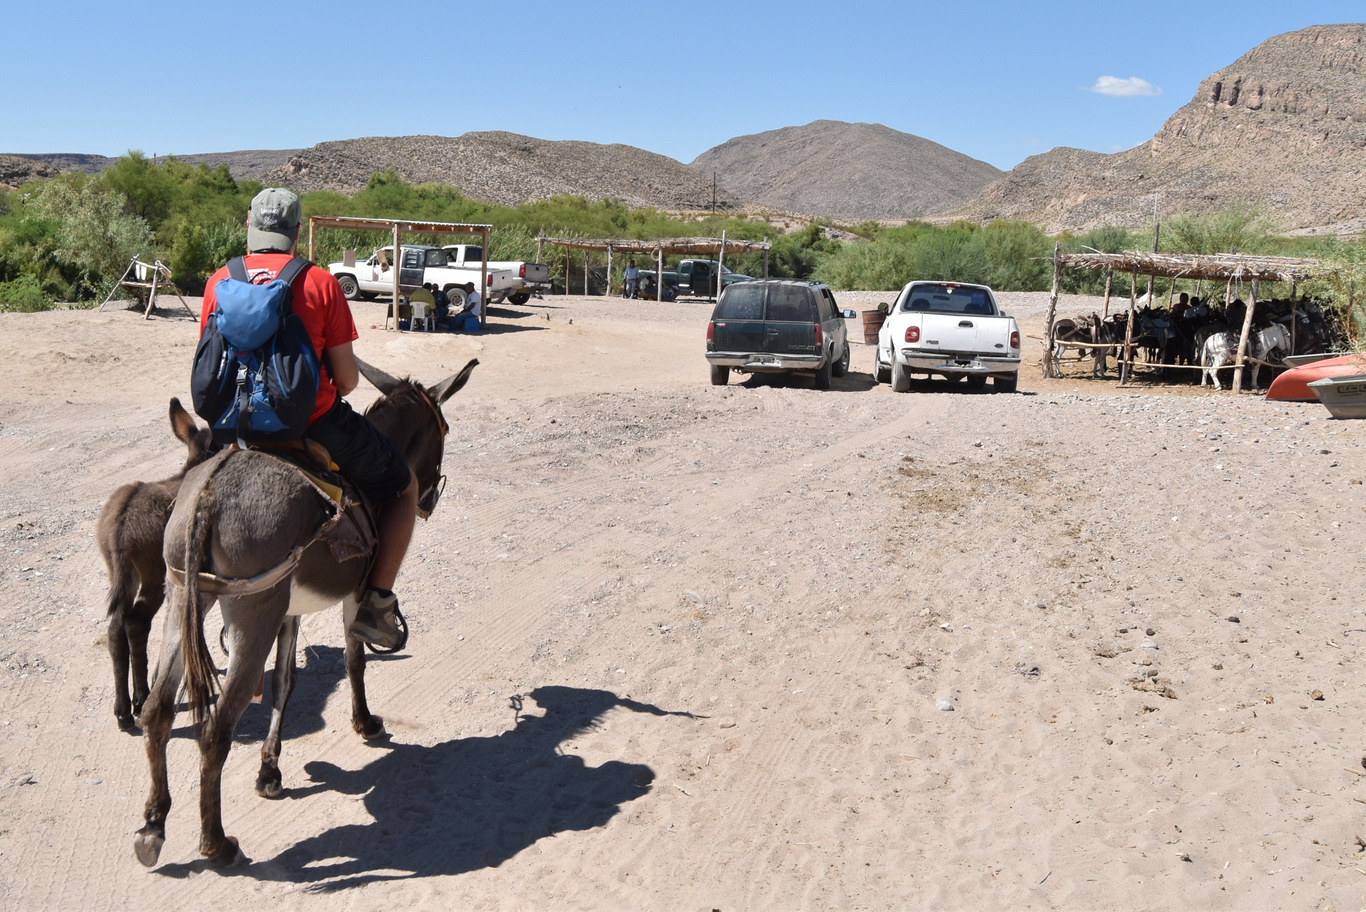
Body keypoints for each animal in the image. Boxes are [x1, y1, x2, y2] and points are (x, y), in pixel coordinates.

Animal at [133, 354, 475, 868]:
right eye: (445, 428)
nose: (428, 500)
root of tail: (211, 490)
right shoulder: (354, 594)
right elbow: (354, 659)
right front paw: (365, 723)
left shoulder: (290, 612)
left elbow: (283, 683)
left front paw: (270, 773)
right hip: (252, 612)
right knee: (216, 729)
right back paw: (216, 843)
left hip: (184, 598)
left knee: (157, 710)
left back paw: (153, 827)